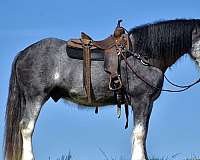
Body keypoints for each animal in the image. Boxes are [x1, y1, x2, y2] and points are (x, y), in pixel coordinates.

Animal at [3, 19, 200, 160]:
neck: (143, 55)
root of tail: (23, 53)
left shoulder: (148, 103)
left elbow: (143, 134)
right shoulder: (140, 100)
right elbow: (139, 133)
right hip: (35, 97)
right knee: (26, 127)